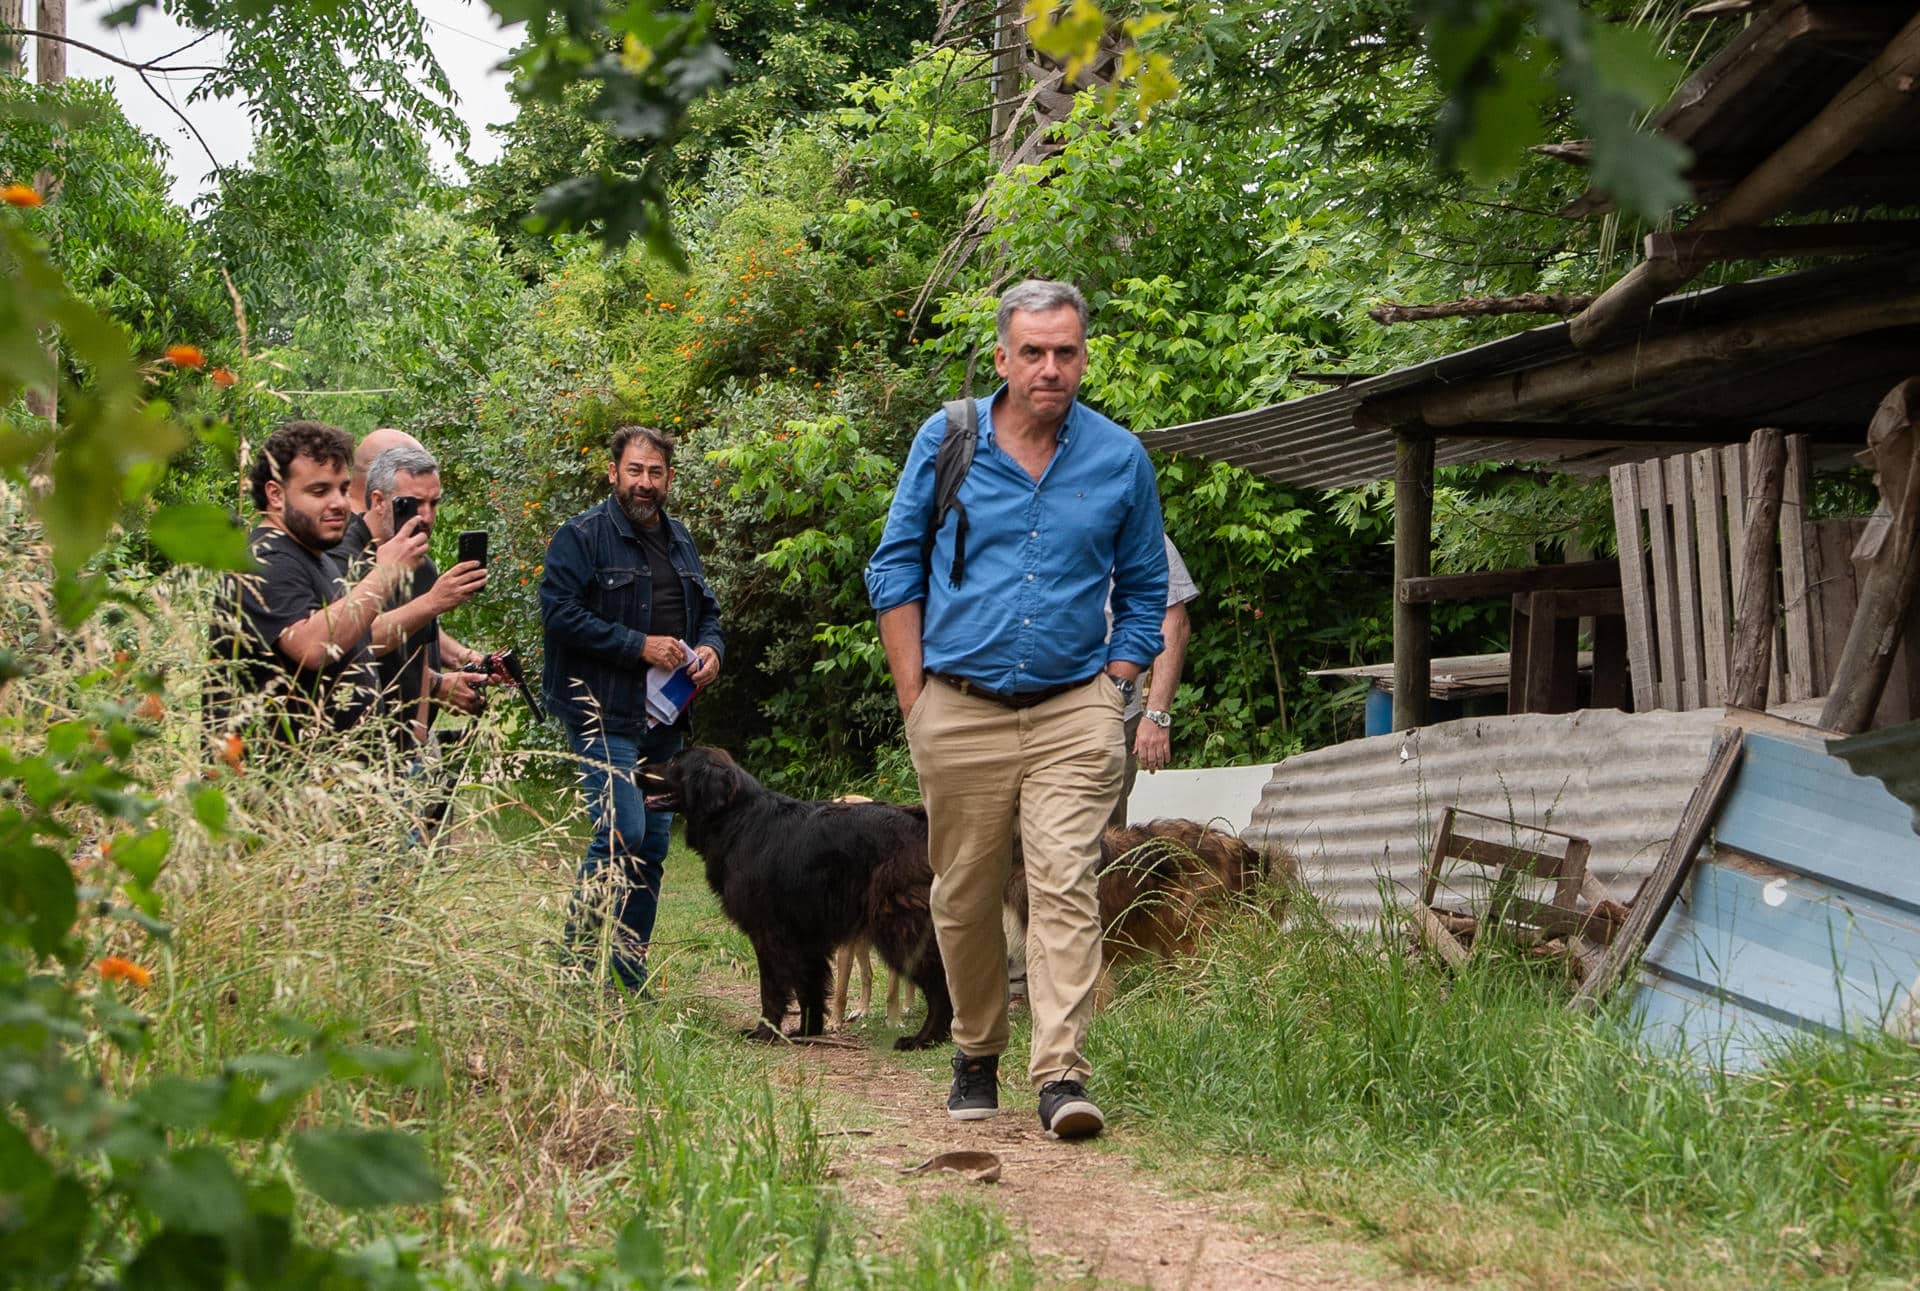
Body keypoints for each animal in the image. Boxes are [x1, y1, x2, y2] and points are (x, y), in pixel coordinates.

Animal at [645, 745, 952, 1045]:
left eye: (673, 762)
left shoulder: (769, 933)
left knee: (941, 984)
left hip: (899, 927)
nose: (637, 770)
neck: (737, 820)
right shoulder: (807, 937)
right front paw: (808, 1032)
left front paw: (765, 1033)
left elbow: (771, 990)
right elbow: (810, 989)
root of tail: (923, 823)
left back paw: (927, 1037)